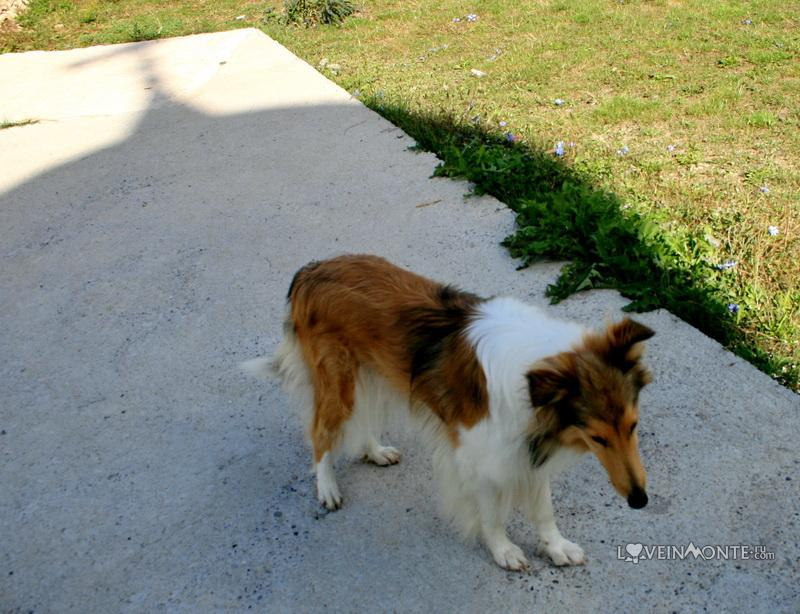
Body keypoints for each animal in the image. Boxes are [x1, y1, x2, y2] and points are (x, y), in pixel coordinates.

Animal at [241, 255, 652, 572]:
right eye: (597, 437)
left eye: (633, 426)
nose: (640, 501)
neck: (534, 373)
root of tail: (310, 271)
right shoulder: (483, 455)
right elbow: (492, 515)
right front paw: (504, 551)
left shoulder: (527, 444)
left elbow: (543, 508)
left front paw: (556, 547)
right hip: (339, 383)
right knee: (320, 434)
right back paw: (327, 487)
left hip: (371, 374)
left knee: (364, 419)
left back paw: (375, 451)